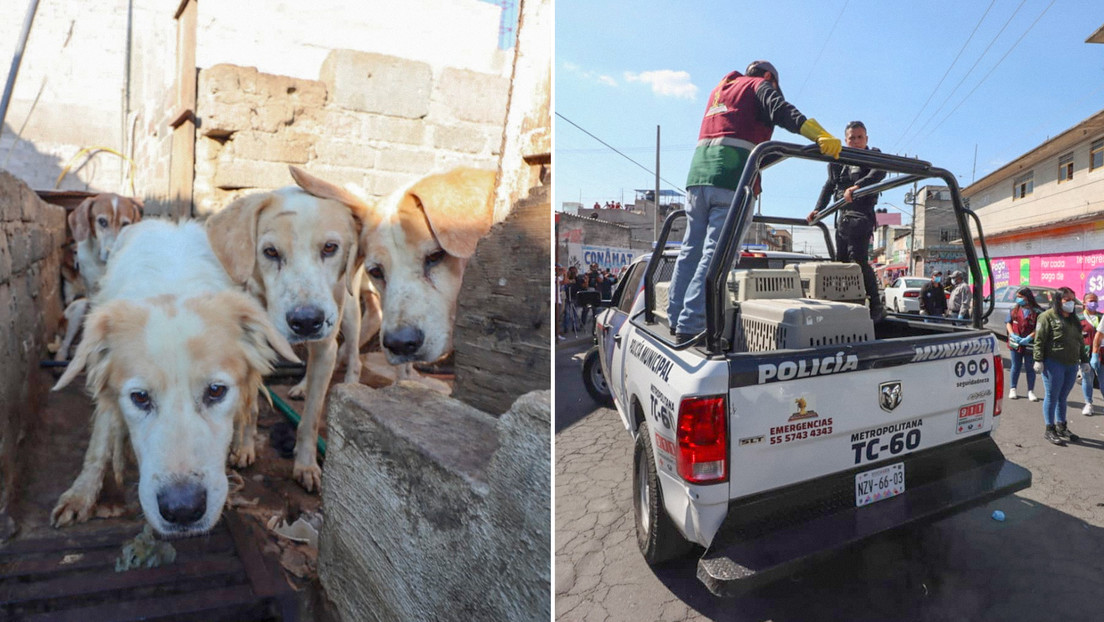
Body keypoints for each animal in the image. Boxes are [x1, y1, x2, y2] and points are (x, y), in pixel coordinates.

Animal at [50, 218, 298, 534]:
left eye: (216, 391)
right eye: (140, 397)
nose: (182, 510)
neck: (172, 286)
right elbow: (99, 443)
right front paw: (81, 494)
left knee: (252, 405)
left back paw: (244, 446)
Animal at [53, 192, 142, 362]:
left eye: (125, 224)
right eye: (102, 221)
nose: (112, 252)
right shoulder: (93, 294)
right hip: (79, 309)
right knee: (65, 345)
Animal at [203, 169, 366, 492]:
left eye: (330, 247)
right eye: (270, 252)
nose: (307, 321)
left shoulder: (325, 345)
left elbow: (311, 418)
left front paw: (306, 465)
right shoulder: (250, 349)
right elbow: (250, 407)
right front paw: (243, 447)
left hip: (350, 312)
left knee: (353, 354)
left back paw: (350, 384)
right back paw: (301, 385)